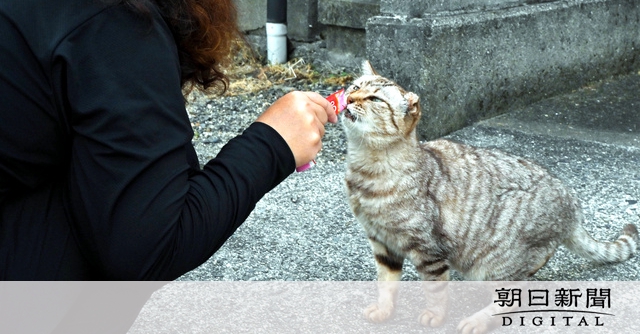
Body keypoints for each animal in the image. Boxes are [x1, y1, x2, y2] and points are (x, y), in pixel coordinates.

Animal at [342, 60, 636, 334]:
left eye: (374, 99)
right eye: (355, 87)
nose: (349, 98)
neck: (366, 172)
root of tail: (572, 208)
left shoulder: (428, 249)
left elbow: (435, 290)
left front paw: (435, 316)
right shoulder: (382, 243)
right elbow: (386, 283)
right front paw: (384, 309)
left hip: (494, 263)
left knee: (517, 294)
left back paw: (477, 321)